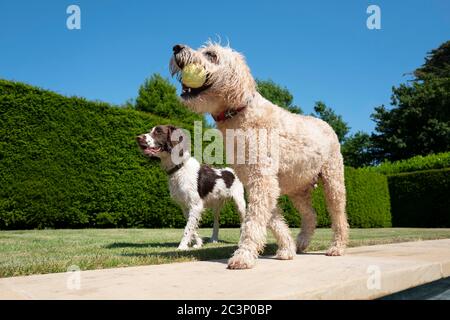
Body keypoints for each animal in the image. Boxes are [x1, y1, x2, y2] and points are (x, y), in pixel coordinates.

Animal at [171, 41, 350, 268]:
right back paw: (301, 243)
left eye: (211, 54)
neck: (241, 112)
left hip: (332, 180)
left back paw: (337, 247)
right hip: (298, 188)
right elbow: (273, 220)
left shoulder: (262, 180)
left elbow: (253, 221)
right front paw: (287, 249)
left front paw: (243, 255)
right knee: (310, 216)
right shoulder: (259, 182)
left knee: (338, 215)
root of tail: (327, 125)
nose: (176, 47)